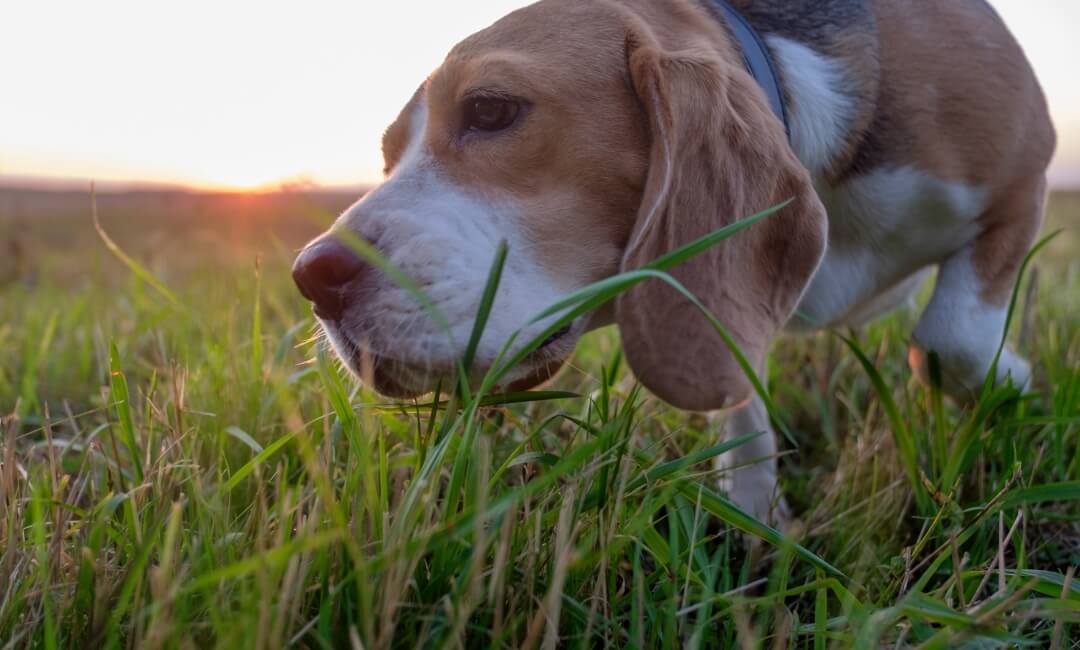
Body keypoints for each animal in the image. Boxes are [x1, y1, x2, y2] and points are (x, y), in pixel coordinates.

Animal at [295, 0, 1054, 518]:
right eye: (389, 155)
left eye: (490, 110)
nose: (312, 278)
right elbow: (739, 395)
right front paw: (755, 514)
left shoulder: (1025, 175)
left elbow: (950, 339)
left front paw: (1012, 381)